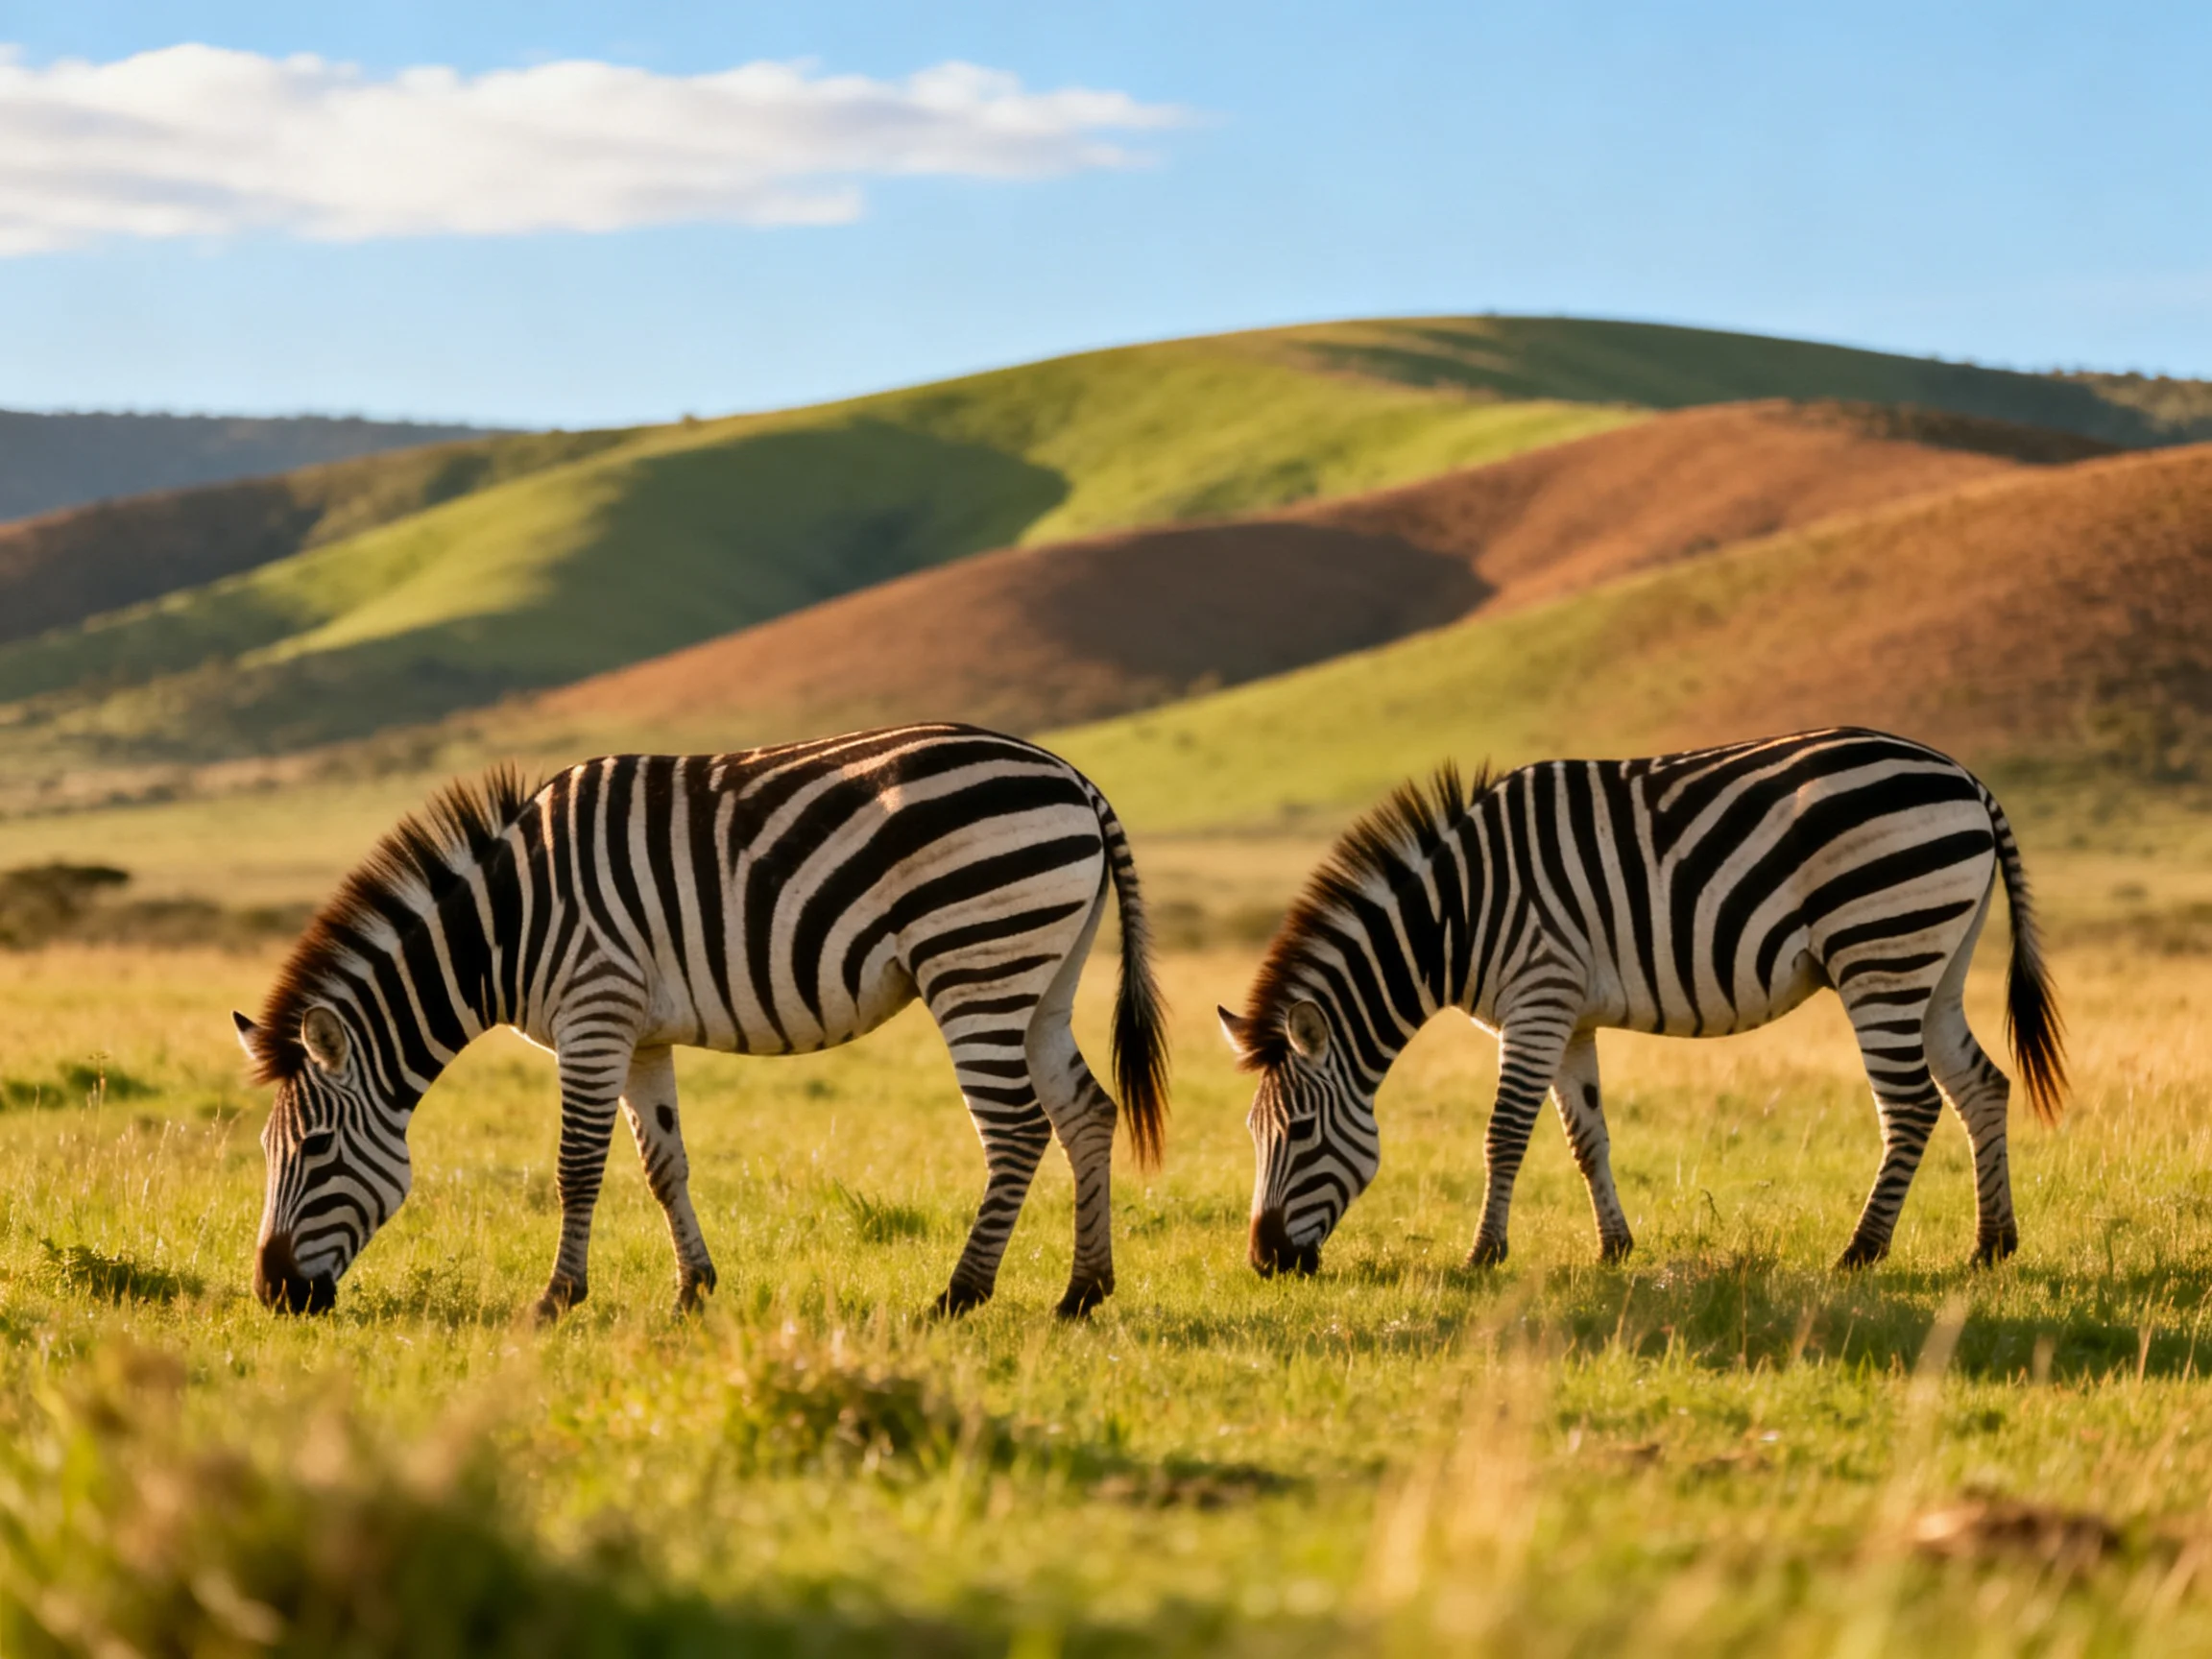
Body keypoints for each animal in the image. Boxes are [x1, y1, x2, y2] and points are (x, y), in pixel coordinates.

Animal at [233, 723, 1168, 1321]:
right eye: (267, 1152)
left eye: (315, 1149)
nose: (274, 1296)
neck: (506, 924)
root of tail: (1074, 778)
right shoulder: (640, 1032)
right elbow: (663, 1165)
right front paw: (693, 1290)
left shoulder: (595, 1009)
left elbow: (578, 1167)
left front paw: (555, 1300)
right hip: (1042, 977)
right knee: (1087, 1111)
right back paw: (1082, 1292)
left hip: (975, 962)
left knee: (1015, 1129)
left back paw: (957, 1296)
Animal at [1219, 727, 2065, 1277]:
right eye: (1252, 1134)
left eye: (1299, 1131)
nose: (1264, 1263)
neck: (1453, 916)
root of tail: (1964, 776)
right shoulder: (1567, 1016)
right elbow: (1586, 1137)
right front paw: (1615, 1247)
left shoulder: (1536, 998)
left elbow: (1504, 1136)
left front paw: (1483, 1255)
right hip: (1934, 961)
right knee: (1982, 1085)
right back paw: (1992, 1245)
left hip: (1879, 950)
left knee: (1913, 1105)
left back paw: (1861, 1251)